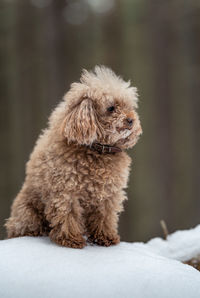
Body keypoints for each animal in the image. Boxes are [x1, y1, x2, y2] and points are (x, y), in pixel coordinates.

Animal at [5, 66, 142, 248]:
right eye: (111, 108)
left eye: (128, 106)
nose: (131, 120)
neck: (96, 150)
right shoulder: (66, 190)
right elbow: (68, 214)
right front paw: (71, 239)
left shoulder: (107, 195)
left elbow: (104, 216)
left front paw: (105, 237)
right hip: (28, 214)